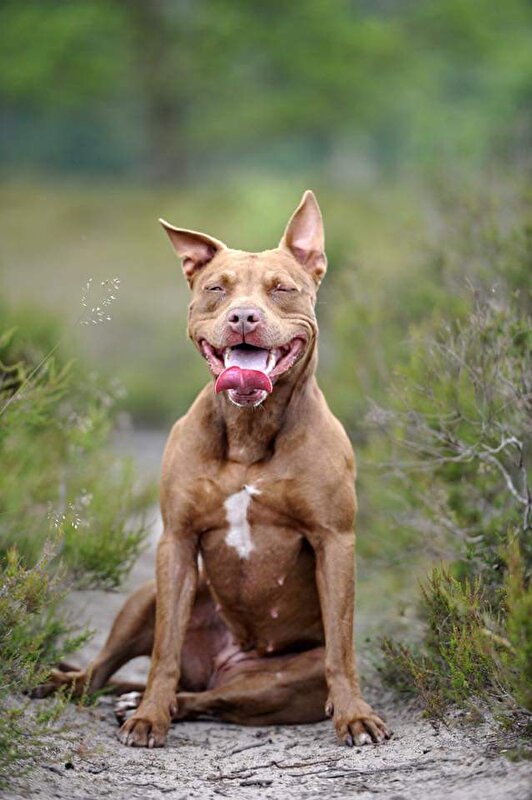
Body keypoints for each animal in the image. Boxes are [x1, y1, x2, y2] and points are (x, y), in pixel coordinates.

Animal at [36, 191, 386, 748]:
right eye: (216, 288)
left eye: (282, 288)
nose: (243, 316)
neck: (247, 432)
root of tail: (220, 664)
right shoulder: (176, 541)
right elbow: (163, 651)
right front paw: (148, 718)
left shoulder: (335, 540)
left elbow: (342, 648)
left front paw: (354, 715)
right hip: (146, 597)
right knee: (106, 671)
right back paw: (91, 690)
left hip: (277, 682)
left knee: (212, 698)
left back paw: (155, 702)